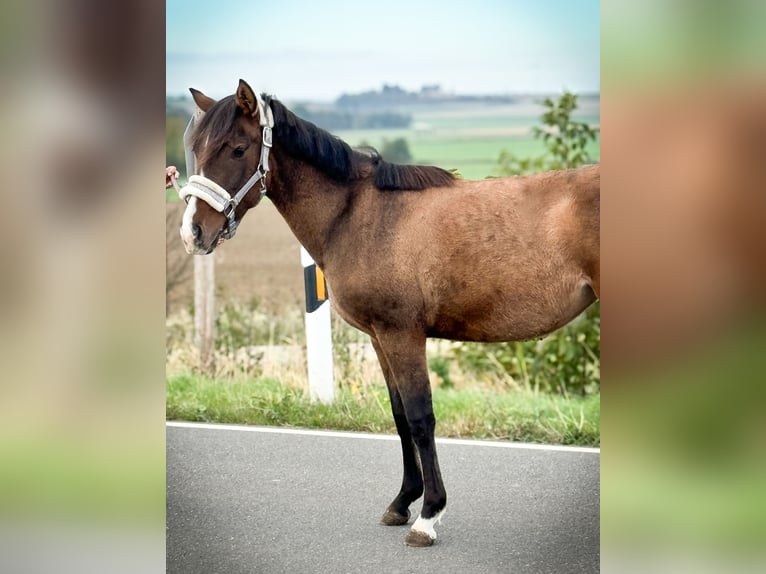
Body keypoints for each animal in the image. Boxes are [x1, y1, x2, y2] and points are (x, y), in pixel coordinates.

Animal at [180, 79, 600, 548]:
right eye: (197, 148)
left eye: (237, 148)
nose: (193, 232)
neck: (357, 214)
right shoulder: (380, 337)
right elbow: (400, 417)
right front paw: (403, 502)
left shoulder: (402, 334)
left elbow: (420, 417)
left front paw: (428, 515)